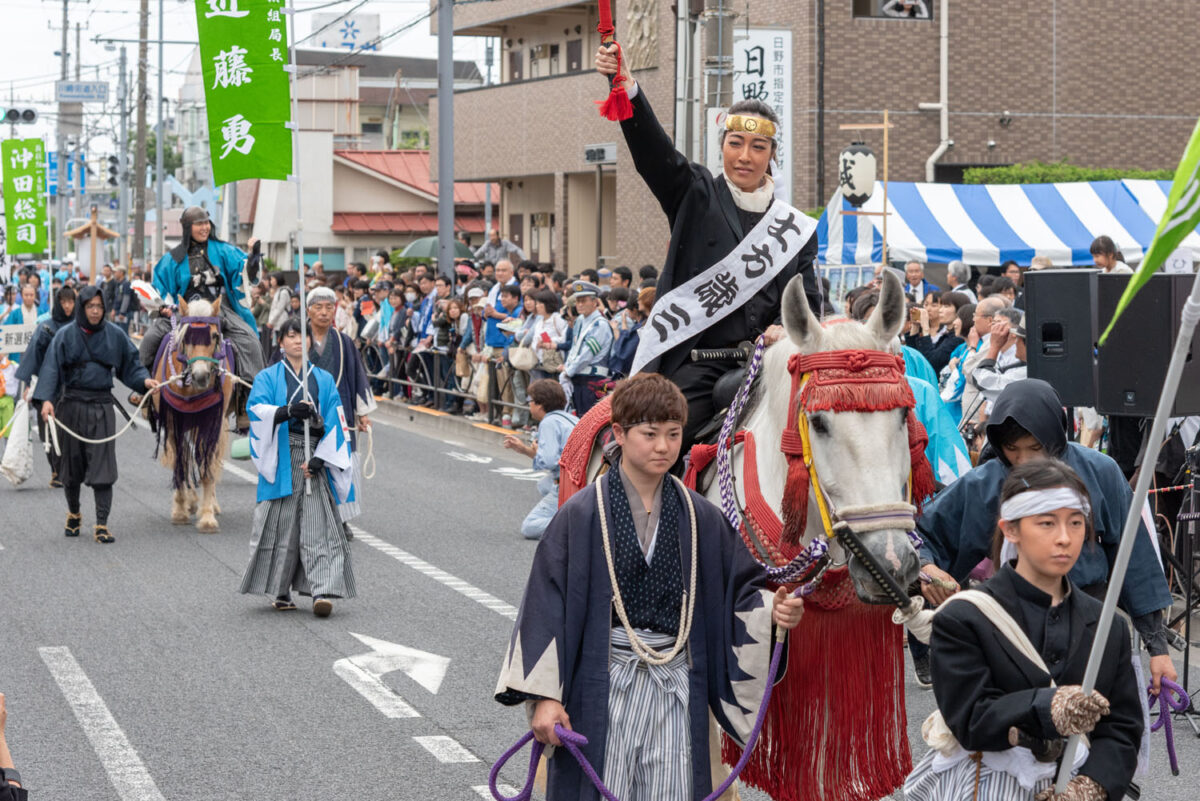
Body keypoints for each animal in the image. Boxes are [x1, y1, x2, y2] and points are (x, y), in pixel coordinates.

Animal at [150, 293, 234, 532]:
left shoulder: (211, 422)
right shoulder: (173, 421)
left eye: (214, 335)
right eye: (186, 337)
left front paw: (207, 516)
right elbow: (180, 460)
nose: (200, 375)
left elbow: (206, 464)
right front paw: (180, 509)